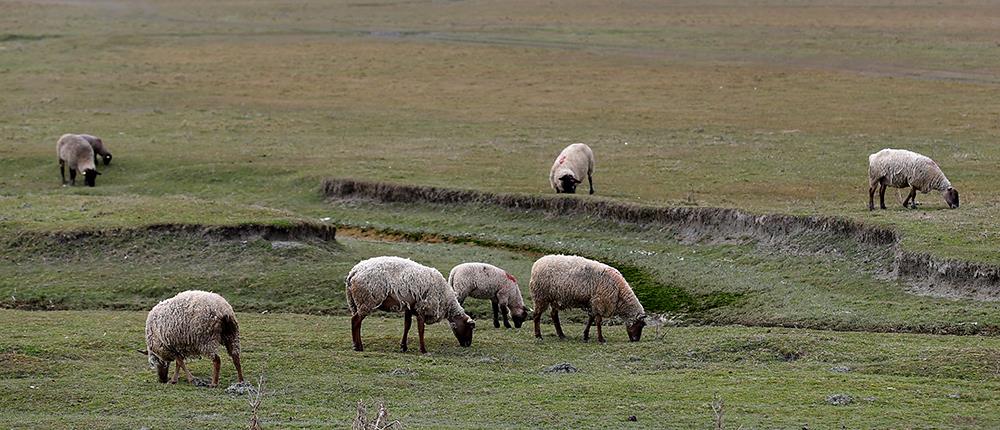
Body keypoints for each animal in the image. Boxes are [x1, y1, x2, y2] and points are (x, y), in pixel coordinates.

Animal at [348, 255, 476, 352]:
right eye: (470, 327)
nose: (468, 344)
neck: (445, 299)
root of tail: (354, 271)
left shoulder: (410, 307)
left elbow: (407, 326)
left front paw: (403, 347)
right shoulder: (422, 307)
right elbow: (421, 329)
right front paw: (423, 350)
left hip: (359, 302)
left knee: (356, 321)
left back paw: (357, 345)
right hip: (366, 300)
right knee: (355, 321)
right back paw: (358, 346)